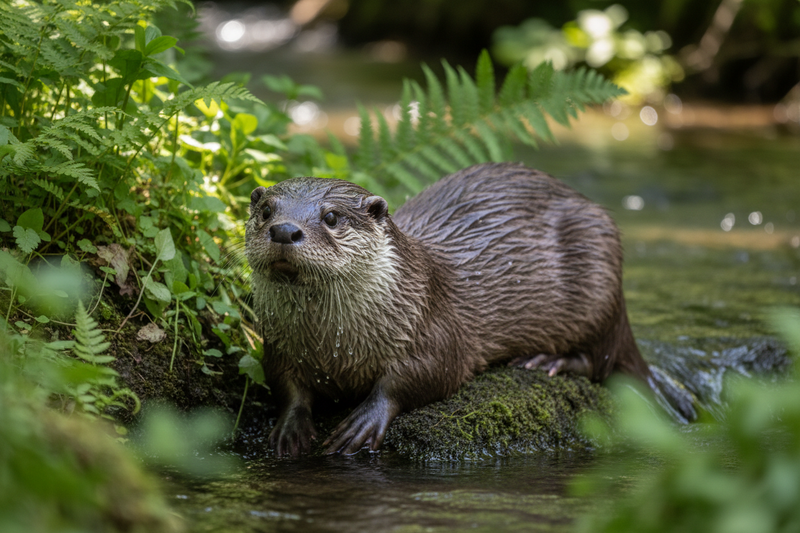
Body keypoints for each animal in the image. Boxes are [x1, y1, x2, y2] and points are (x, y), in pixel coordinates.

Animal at [245, 162, 690, 457]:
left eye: (332, 217)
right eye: (266, 211)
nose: (284, 230)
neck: (334, 349)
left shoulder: (432, 326)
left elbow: (425, 375)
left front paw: (365, 419)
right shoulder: (278, 344)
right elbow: (285, 384)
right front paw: (290, 427)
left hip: (600, 274)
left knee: (601, 359)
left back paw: (548, 361)